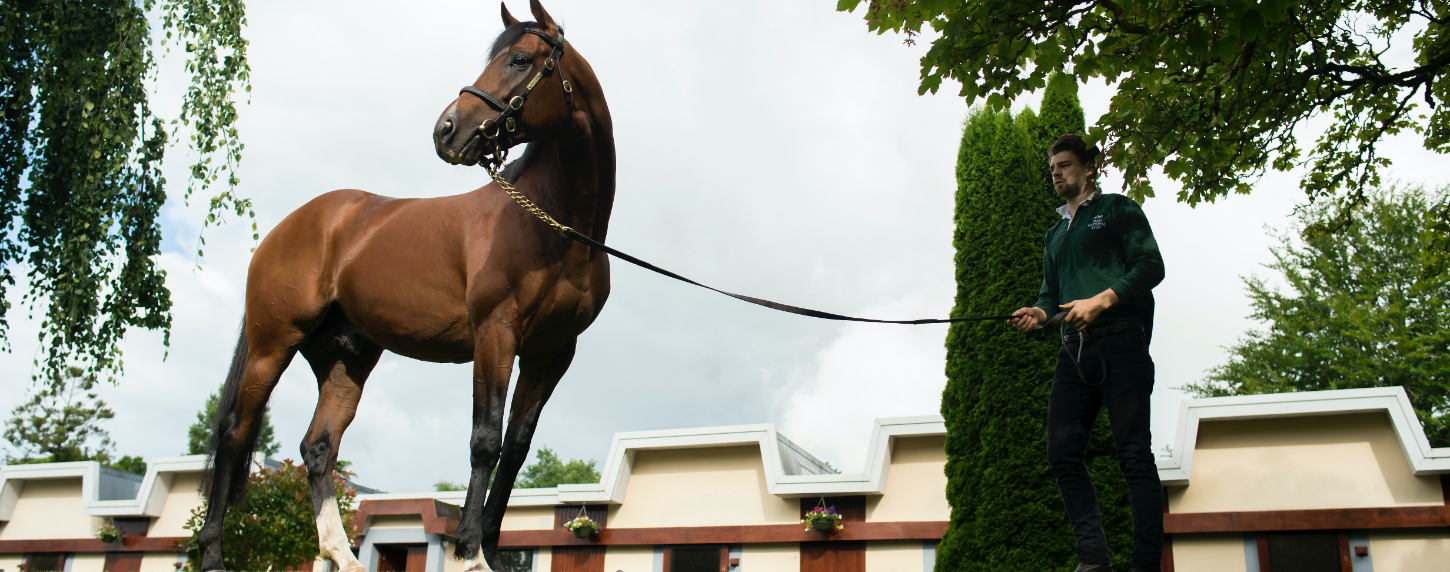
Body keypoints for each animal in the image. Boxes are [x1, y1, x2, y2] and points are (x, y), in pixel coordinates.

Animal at [198, 2, 611, 569]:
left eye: (521, 60)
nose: (447, 129)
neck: (552, 222)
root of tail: (291, 226)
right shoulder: (496, 334)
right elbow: (485, 440)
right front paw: (469, 553)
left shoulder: (552, 353)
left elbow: (515, 449)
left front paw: (489, 547)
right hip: (271, 345)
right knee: (235, 435)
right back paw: (214, 555)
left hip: (346, 357)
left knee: (318, 447)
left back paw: (342, 554)